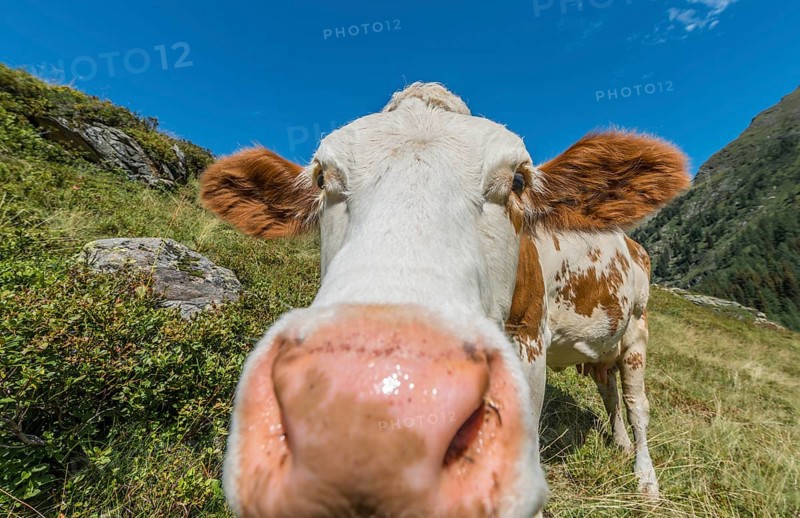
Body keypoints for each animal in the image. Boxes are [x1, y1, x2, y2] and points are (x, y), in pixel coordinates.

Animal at [199, 82, 689, 517]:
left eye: (518, 180)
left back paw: (646, 480)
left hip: (638, 329)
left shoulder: (530, 339)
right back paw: (619, 443)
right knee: (610, 391)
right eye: (322, 178)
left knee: (638, 405)